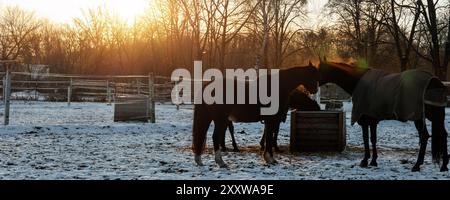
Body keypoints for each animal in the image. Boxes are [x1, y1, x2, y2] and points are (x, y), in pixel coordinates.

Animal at [318, 58, 448, 171]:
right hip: (434, 116)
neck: (359, 82)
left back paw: (417, 165)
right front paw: (373, 161)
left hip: (419, 117)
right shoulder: (372, 120)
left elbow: (366, 139)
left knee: (425, 136)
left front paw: (365, 161)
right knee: (443, 134)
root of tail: (434, 80)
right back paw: (444, 166)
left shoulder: (364, 119)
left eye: (320, 69)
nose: (314, 85)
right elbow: (373, 139)